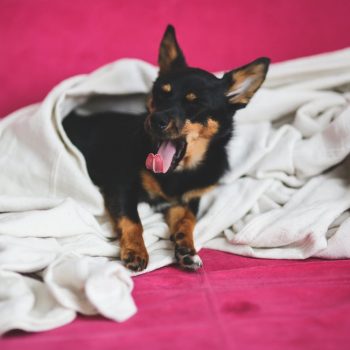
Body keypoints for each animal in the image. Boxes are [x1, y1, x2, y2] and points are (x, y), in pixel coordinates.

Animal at [63, 26, 270, 272]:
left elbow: (188, 221)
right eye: (161, 93)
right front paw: (136, 250)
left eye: (196, 104)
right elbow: (133, 220)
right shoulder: (120, 186)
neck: (178, 172)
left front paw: (187, 250)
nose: (155, 119)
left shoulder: (187, 201)